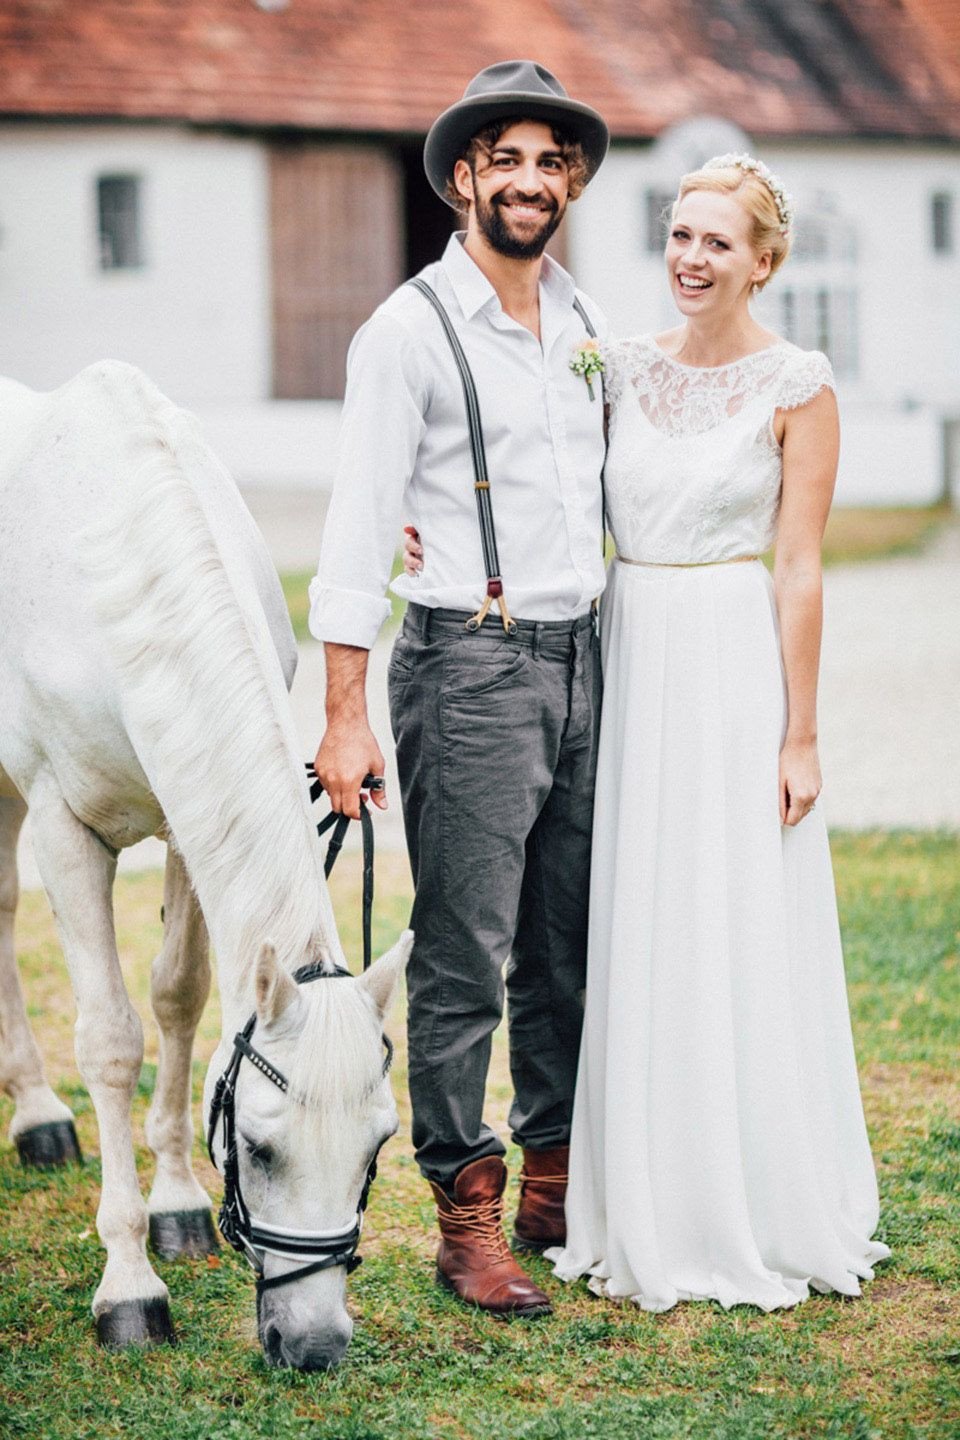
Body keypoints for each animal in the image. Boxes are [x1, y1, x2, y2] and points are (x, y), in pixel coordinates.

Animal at [0, 362, 408, 1370]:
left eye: (377, 1147)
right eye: (258, 1150)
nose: (316, 1345)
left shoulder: (190, 826)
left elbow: (179, 998)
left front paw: (178, 1206)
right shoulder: (64, 828)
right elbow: (112, 1040)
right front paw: (130, 1285)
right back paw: (38, 1113)